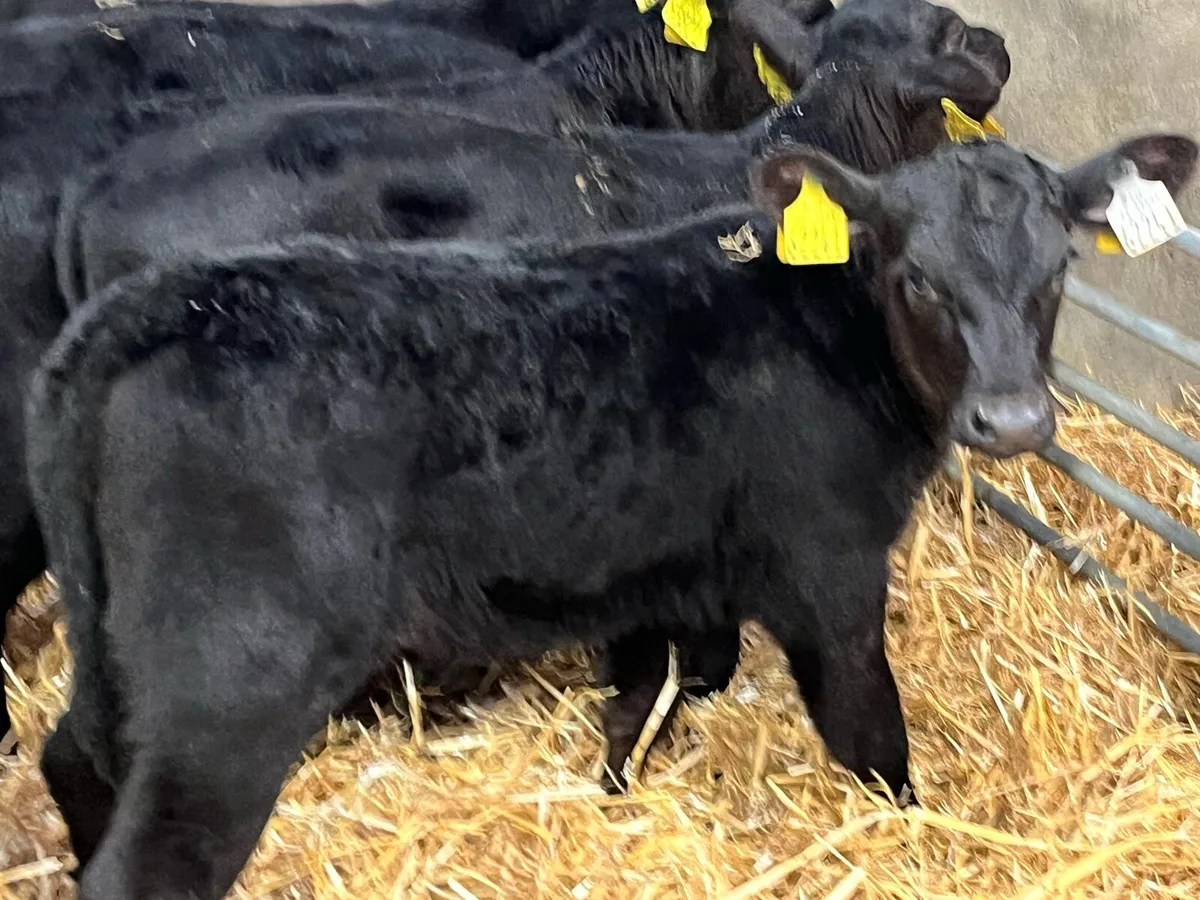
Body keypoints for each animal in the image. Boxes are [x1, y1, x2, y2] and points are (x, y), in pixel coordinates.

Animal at [28, 132, 1198, 899]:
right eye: (918, 278)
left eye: (1058, 270)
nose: (1014, 419)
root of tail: (157, 305)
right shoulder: (829, 566)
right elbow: (870, 733)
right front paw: (912, 837)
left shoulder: (662, 567)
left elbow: (648, 699)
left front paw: (615, 792)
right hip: (235, 678)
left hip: (122, 650)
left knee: (75, 758)